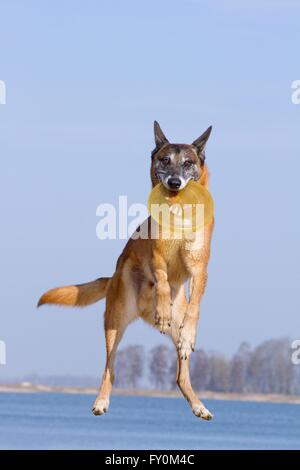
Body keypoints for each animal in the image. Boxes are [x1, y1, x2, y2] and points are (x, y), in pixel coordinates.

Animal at [38, 120, 214, 418]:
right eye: (165, 160)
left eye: (188, 163)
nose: (174, 182)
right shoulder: (157, 255)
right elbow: (162, 280)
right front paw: (163, 308)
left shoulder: (199, 268)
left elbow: (197, 306)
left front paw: (189, 333)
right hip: (115, 321)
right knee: (110, 368)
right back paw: (101, 401)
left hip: (169, 328)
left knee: (180, 375)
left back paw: (198, 405)